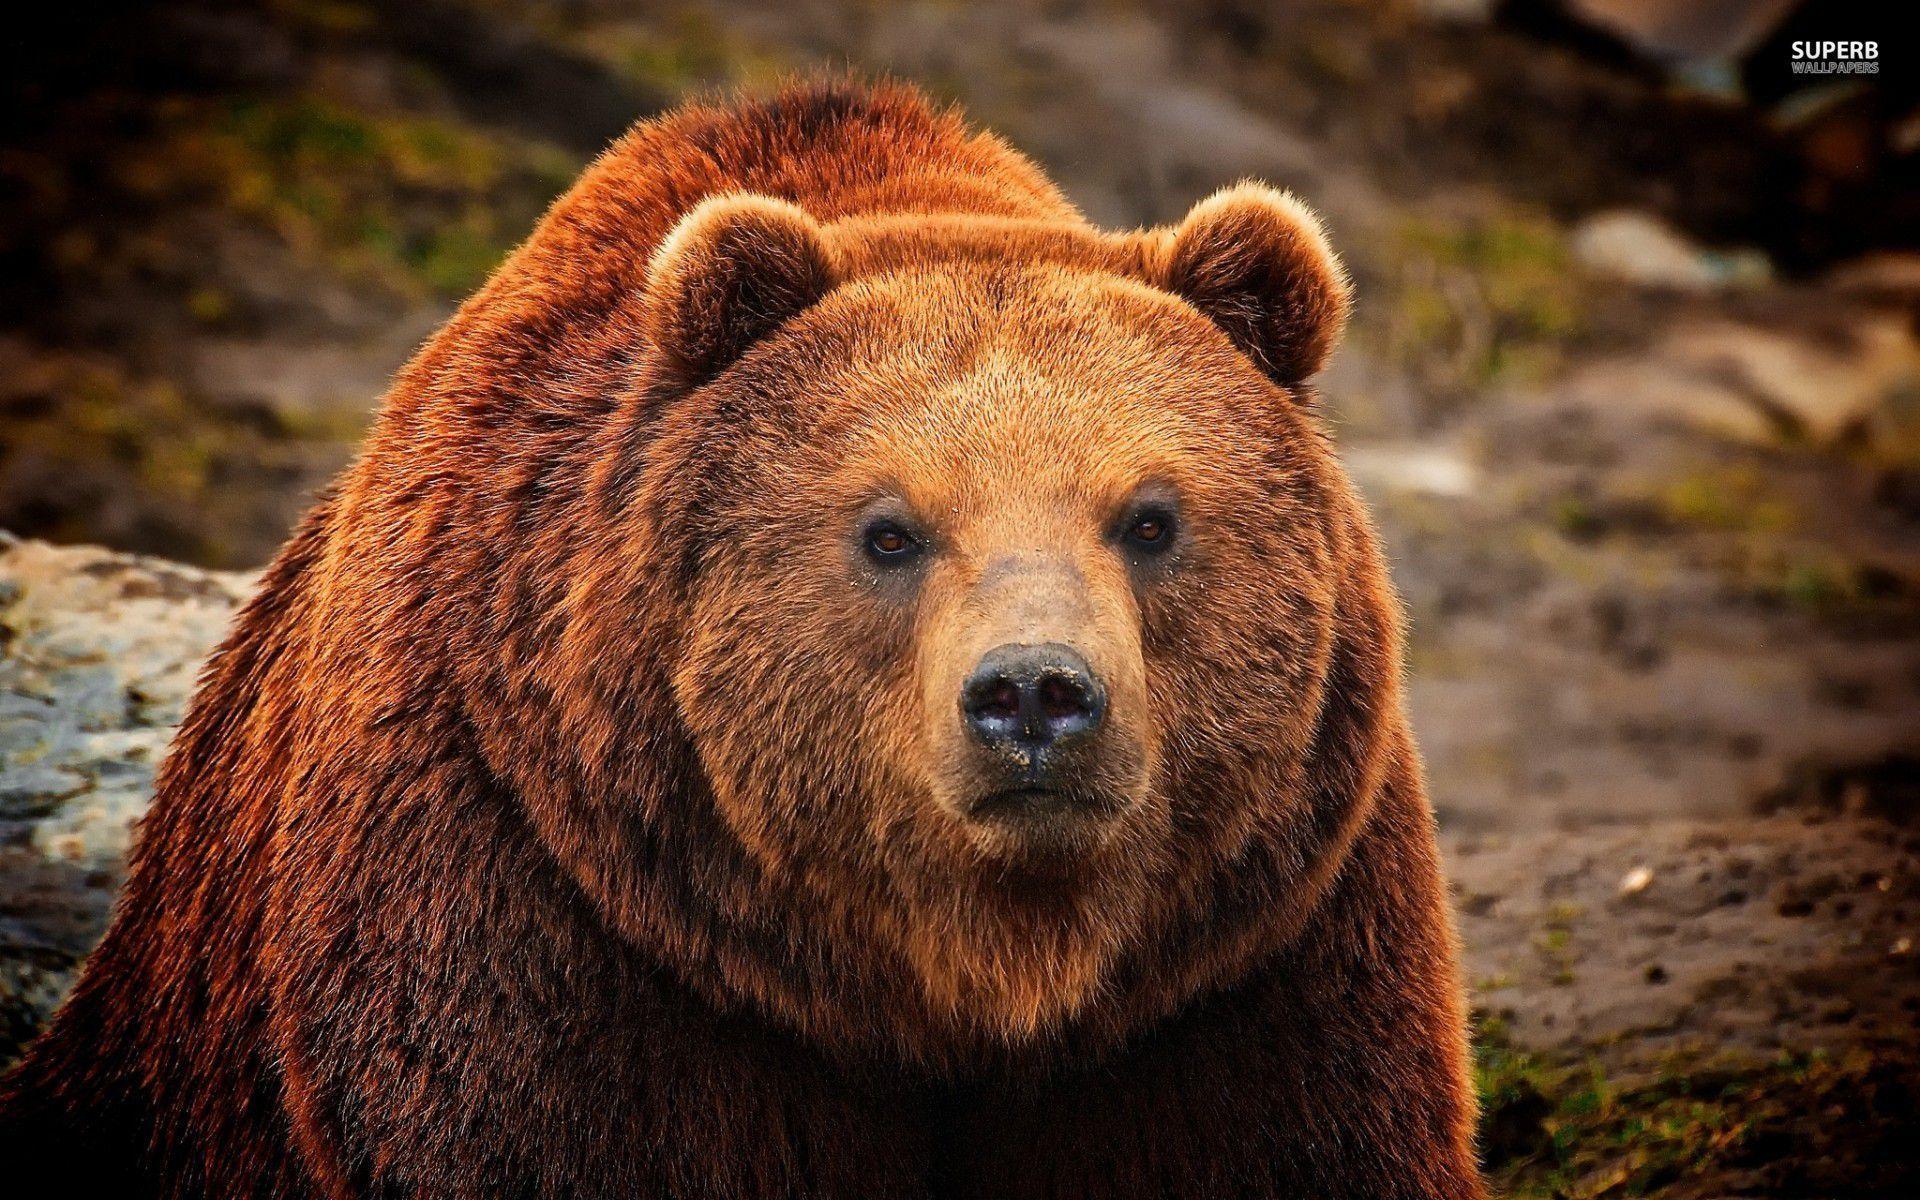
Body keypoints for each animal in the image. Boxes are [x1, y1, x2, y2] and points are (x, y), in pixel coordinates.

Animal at [0, 80, 1484, 1198]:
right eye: (889, 530)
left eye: (1152, 516)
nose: (1034, 696)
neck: (961, 979)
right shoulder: (555, 916)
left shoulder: (1243, 958)